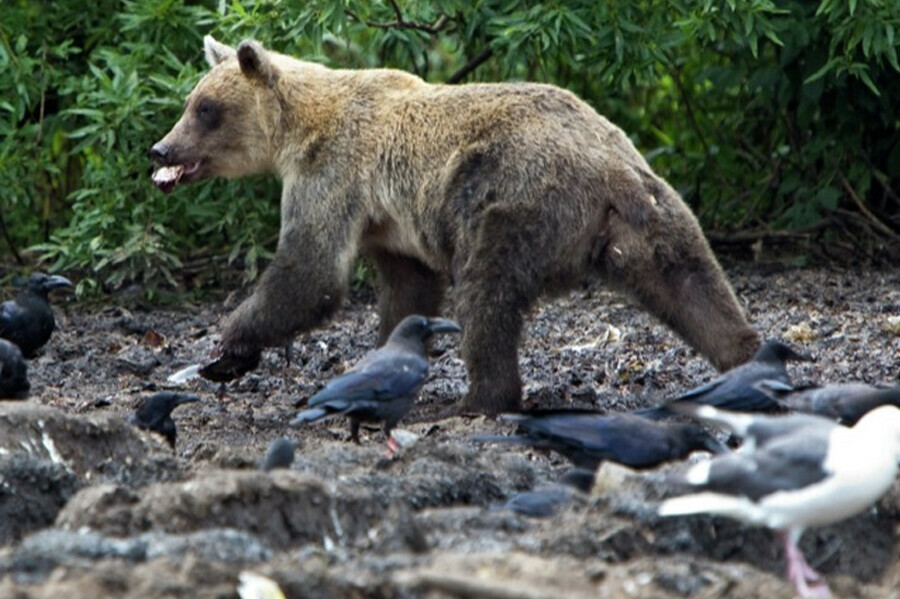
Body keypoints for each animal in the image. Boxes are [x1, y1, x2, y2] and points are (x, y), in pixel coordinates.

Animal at [149, 35, 760, 414]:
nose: (161, 149)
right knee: (693, 282)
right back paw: (745, 355)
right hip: (653, 209)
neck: (298, 130)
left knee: (487, 296)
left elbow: (310, 273)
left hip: (510, 205)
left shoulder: (333, 177)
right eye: (191, 101)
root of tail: (608, 172)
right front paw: (383, 355)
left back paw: (479, 399)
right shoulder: (390, 223)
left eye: (204, 109)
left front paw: (227, 347)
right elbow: (407, 288)